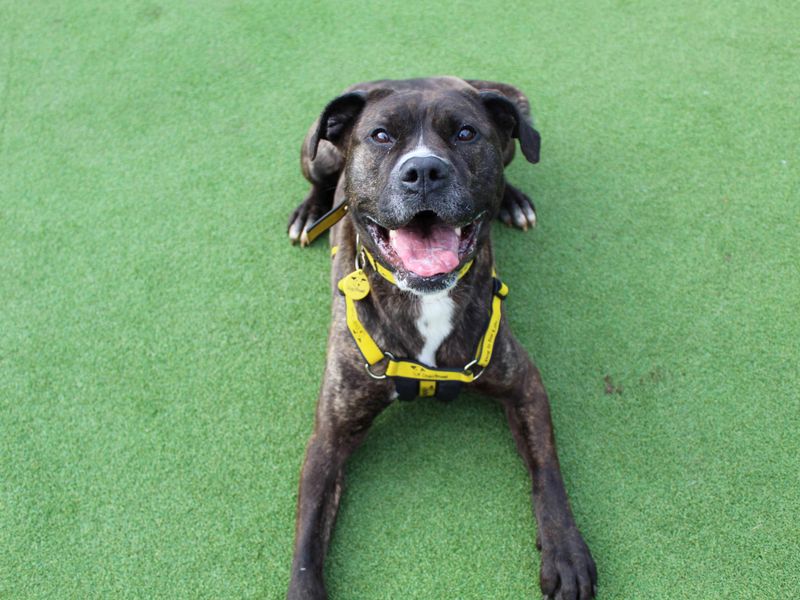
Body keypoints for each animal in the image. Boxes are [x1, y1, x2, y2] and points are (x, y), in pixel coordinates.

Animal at [286, 77, 592, 596]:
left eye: (466, 133)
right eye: (381, 136)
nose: (424, 170)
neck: (425, 300)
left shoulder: (523, 383)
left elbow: (547, 468)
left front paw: (566, 550)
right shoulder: (328, 437)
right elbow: (308, 544)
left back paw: (513, 200)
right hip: (318, 151)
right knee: (320, 179)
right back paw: (310, 212)